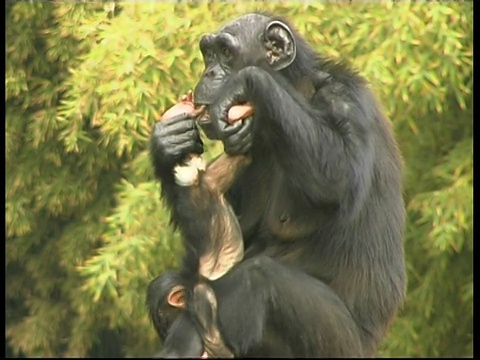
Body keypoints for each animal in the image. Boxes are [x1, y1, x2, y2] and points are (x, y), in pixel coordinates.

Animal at [149, 11, 404, 358]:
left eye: (226, 53)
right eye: (208, 54)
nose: (210, 72)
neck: (295, 89)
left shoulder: (347, 101)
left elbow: (338, 177)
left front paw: (246, 83)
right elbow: (222, 232)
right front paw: (168, 140)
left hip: (339, 345)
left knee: (258, 278)